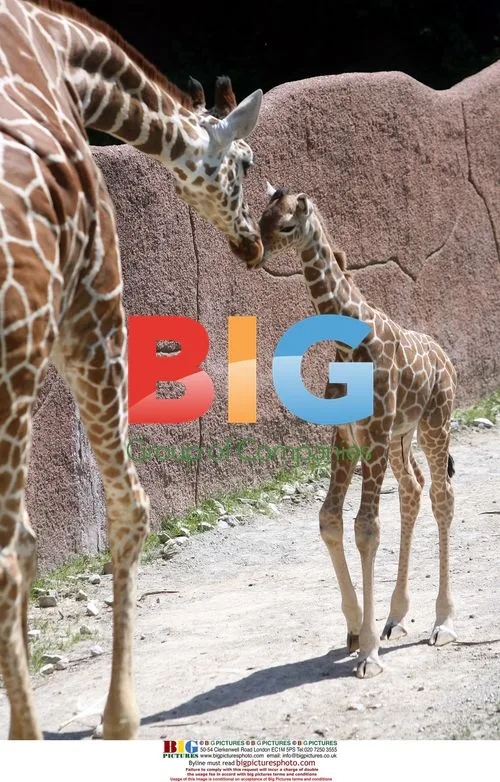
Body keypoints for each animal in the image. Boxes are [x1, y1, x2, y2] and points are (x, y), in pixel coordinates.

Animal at [0, 0, 265, 740]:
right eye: (244, 162)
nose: (255, 243)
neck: (64, 53)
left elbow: (31, 540)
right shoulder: (92, 307)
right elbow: (129, 507)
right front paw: (118, 716)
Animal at [258, 185, 457, 678]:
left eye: (286, 225)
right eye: (260, 218)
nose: (255, 252)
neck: (348, 343)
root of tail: (446, 360)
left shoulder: (375, 431)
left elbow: (366, 528)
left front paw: (367, 654)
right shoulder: (347, 437)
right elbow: (330, 519)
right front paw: (354, 630)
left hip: (434, 423)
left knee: (442, 497)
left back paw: (443, 623)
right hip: (402, 437)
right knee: (414, 489)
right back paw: (395, 617)